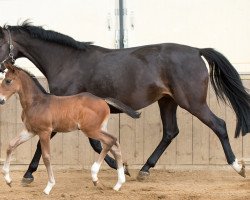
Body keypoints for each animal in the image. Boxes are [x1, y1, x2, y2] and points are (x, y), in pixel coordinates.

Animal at [0, 63, 141, 195]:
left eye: (8, 81)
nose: (1, 100)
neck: (36, 103)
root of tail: (103, 100)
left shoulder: (45, 132)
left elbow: (46, 157)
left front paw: (49, 186)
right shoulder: (30, 131)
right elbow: (11, 145)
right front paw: (8, 180)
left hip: (91, 130)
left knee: (110, 141)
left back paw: (95, 177)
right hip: (100, 128)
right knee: (115, 144)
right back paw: (118, 184)